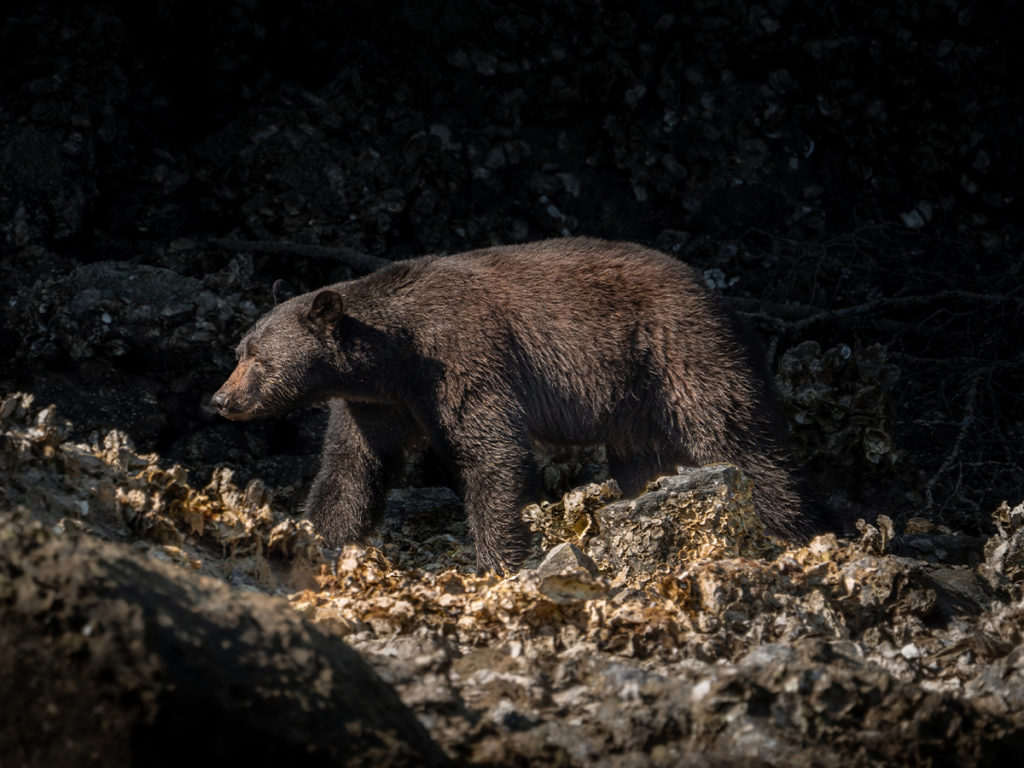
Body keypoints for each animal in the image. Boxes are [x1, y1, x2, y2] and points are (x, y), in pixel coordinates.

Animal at [214, 237, 815, 573]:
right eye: (238, 351)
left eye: (258, 359)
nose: (222, 399)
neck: (394, 357)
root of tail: (716, 297)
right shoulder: (374, 404)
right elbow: (350, 470)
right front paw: (314, 538)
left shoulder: (462, 357)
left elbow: (491, 451)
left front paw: (498, 561)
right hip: (634, 401)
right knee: (641, 458)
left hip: (678, 352)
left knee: (736, 434)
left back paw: (788, 527)